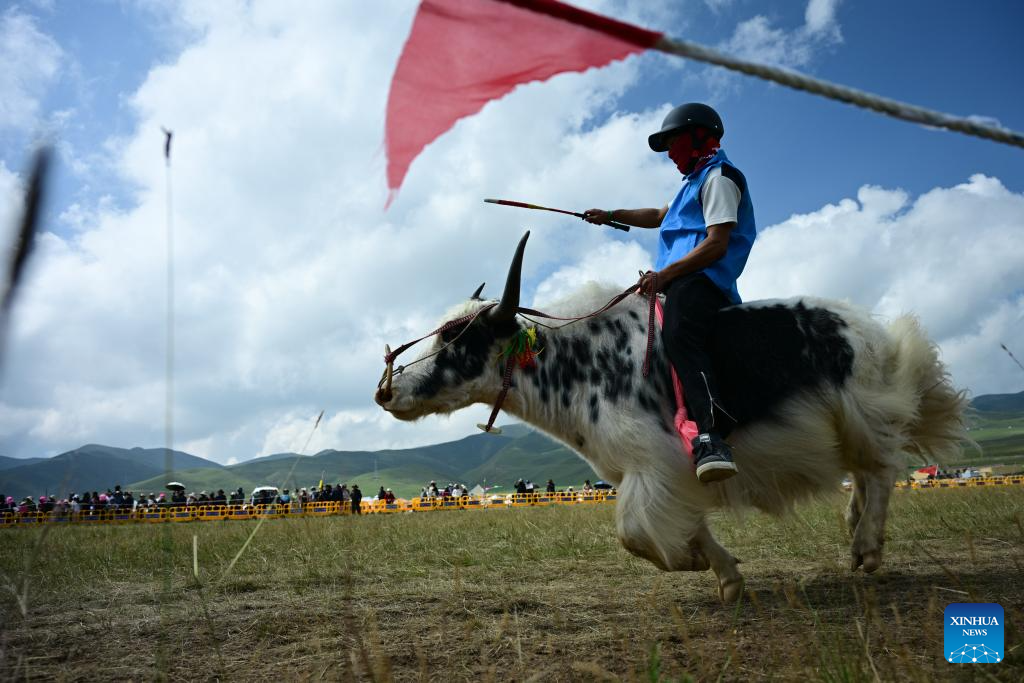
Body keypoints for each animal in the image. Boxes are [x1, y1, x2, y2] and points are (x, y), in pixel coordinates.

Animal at [374, 232, 967, 603]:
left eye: (458, 337)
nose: (387, 390)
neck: (576, 363)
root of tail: (876, 331)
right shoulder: (657, 473)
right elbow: (681, 525)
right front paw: (726, 577)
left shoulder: (655, 464)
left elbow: (635, 534)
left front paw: (694, 564)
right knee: (866, 472)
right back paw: (853, 528)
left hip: (862, 411)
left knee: (882, 467)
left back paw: (866, 548)